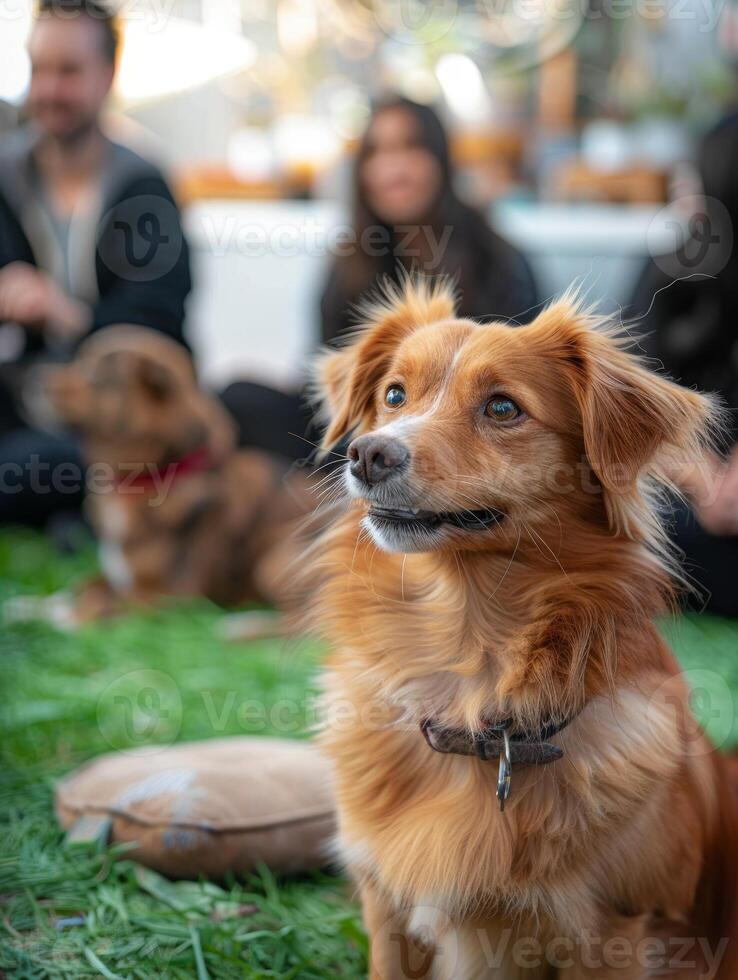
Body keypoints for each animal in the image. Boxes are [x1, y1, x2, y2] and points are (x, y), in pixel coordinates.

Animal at [25, 324, 312, 628]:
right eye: (79, 359)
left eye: (99, 375)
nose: (33, 377)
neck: (149, 477)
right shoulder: (120, 578)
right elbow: (82, 586)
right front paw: (30, 605)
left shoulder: (169, 598)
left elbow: (96, 604)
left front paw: (59, 619)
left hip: (276, 556)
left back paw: (240, 624)